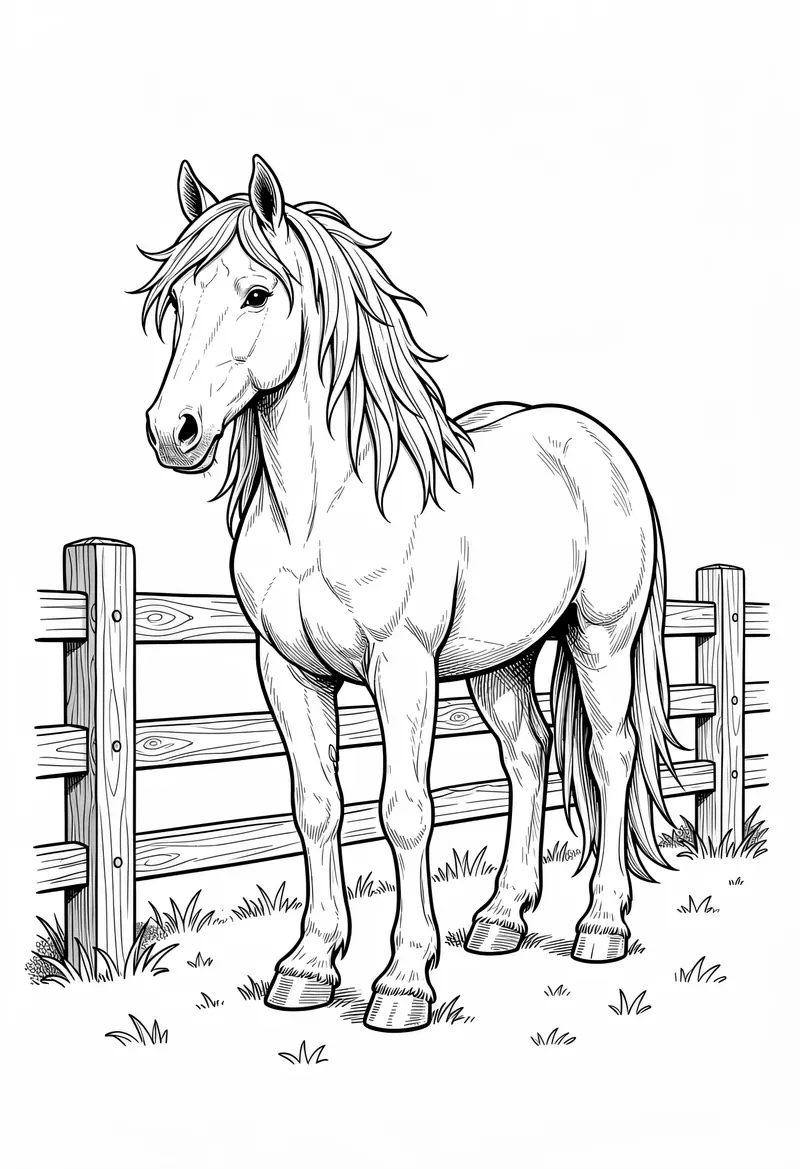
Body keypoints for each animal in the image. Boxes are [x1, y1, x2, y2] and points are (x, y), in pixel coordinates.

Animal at [138, 155, 677, 1032]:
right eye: (179, 300)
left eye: (257, 293)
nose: (172, 430)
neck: (322, 508)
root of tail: (591, 439)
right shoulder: (287, 670)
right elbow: (317, 804)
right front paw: (308, 965)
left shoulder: (402, 667)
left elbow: (404, 809)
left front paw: (403, 980)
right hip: (501, 662)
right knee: (527, 756)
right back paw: (500, 917)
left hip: (602, 640)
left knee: (609, 755)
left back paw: (600, 925)